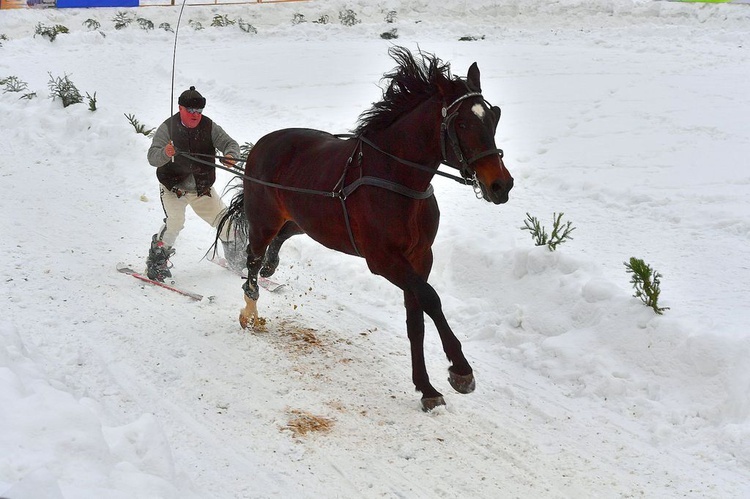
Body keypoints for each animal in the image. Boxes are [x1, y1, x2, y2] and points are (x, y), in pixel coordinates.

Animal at [217, 47, 512, 410]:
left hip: (303, 220)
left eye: (493, 116)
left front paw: (426, 386)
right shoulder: (383, 260)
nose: (501, 185)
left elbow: (416, 319)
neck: (397, 179)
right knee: (253, 260)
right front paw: (460, 369)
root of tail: (261, 144)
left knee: (278, 243)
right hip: (265, 220)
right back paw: (251, 307)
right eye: (462, 122)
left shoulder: (419, 257)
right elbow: (431, 299)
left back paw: (271, 268)